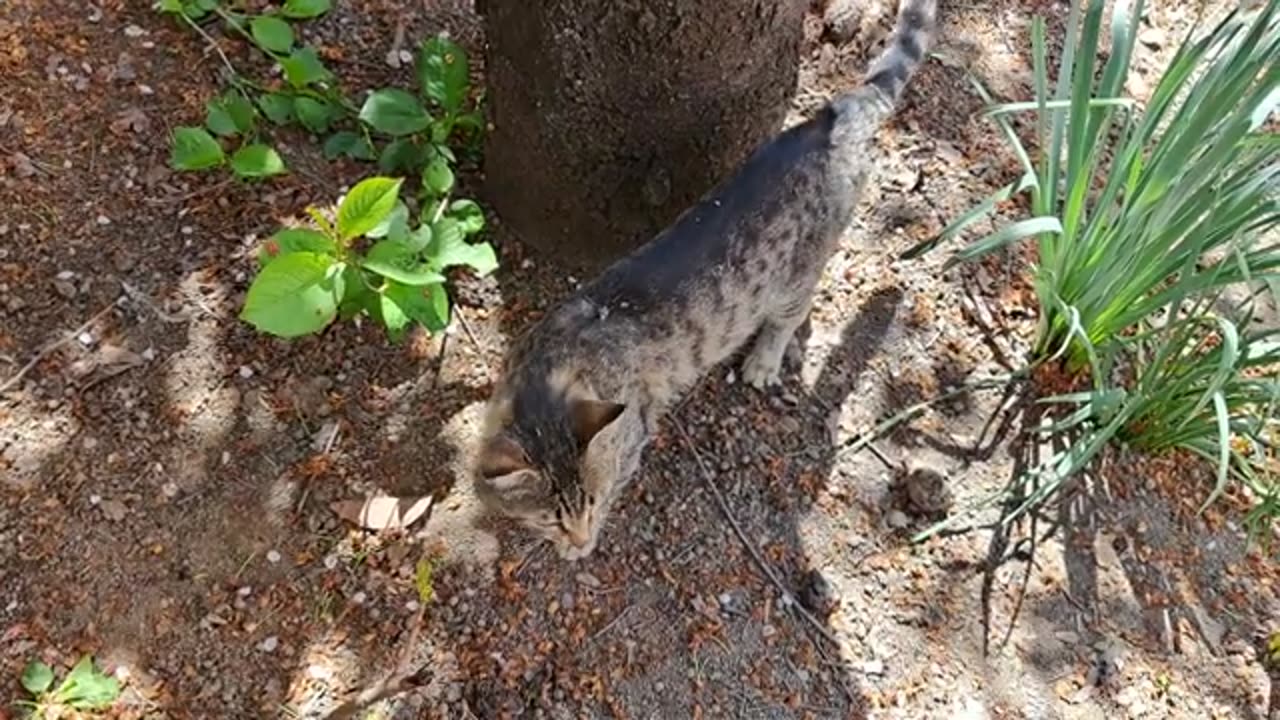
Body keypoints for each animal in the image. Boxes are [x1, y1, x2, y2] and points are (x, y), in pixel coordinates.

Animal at [476, 0, 936, 561]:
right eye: (550, 517)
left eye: (593, 502)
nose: (580, 541)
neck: (548, 372)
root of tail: (836, 116)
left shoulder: (631, 430)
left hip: (798, 270)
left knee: (792, 313)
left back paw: (765, 360)